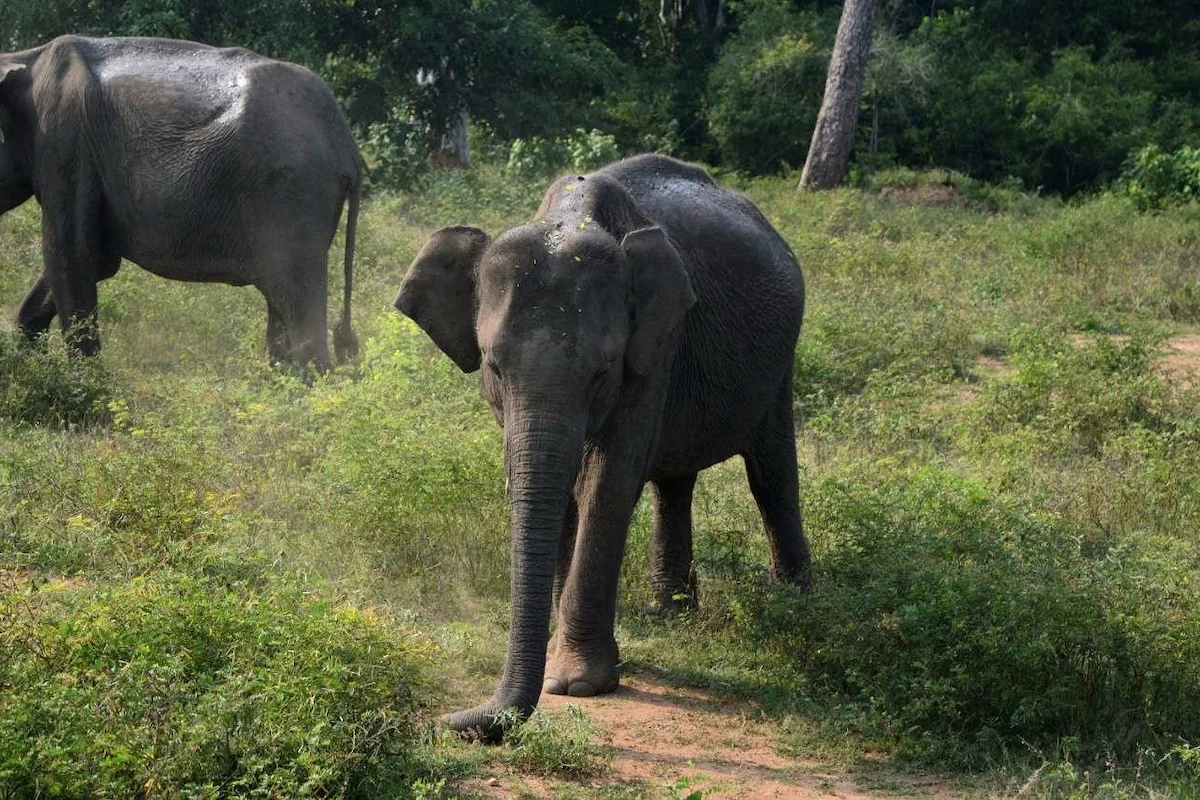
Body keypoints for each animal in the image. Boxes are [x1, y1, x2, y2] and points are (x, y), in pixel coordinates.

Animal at [0, 35, 360, 369]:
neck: (26, 60)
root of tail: (346, 143)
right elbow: (96, 261)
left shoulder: (65, 145)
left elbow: (72, 257)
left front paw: (85, 383)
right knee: (281, 310)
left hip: (293, 195)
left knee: (298, 306)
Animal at [395, 153, 811, 740]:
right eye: (493, 367)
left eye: (602, 371)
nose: (450, 720)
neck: (570, 216)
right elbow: (561, 485)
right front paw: (564, 667)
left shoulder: (657, 343)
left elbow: (606, 482)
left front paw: (576, 683)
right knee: (674, 483)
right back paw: (670, 615)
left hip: (780, 360)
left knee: (770, 475)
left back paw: (798, 609)